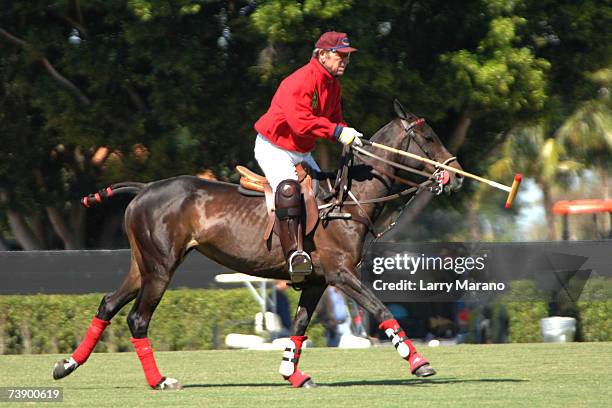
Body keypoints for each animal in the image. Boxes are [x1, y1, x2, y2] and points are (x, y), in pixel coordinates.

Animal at [52, 101, 464, 388]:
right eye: (428, 138)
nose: (457, 175)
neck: (348, 199)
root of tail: (144, 188)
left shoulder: (317, 279)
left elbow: (299, 324)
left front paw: (292, 374)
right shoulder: (342, 273)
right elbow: (380, 309)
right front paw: (419, 363)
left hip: (143, 265)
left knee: (107, 304)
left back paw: (66, 365)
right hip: (160, 268)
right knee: (137, 319)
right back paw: (160, 380)